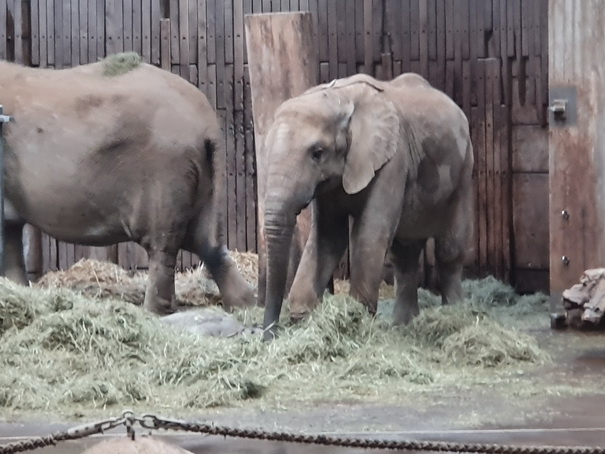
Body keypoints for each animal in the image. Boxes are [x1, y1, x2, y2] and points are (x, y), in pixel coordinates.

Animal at [0, 52, 255, 314]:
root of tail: (208, 125)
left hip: (164, 170)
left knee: (163, 242)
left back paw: (153, 311)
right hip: (202, 174)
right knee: (206, 241)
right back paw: (245, 304)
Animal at [261, 72, 474, 339]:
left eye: (317, 153)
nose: (268, 336)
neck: (339, 98)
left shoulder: (393, 160)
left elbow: (369, 234)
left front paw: (356, 321)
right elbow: (328, 236)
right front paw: (303, 316)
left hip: (464, 168)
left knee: (449, 249)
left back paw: (454, 315)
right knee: (405, 255)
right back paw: (403, 326)